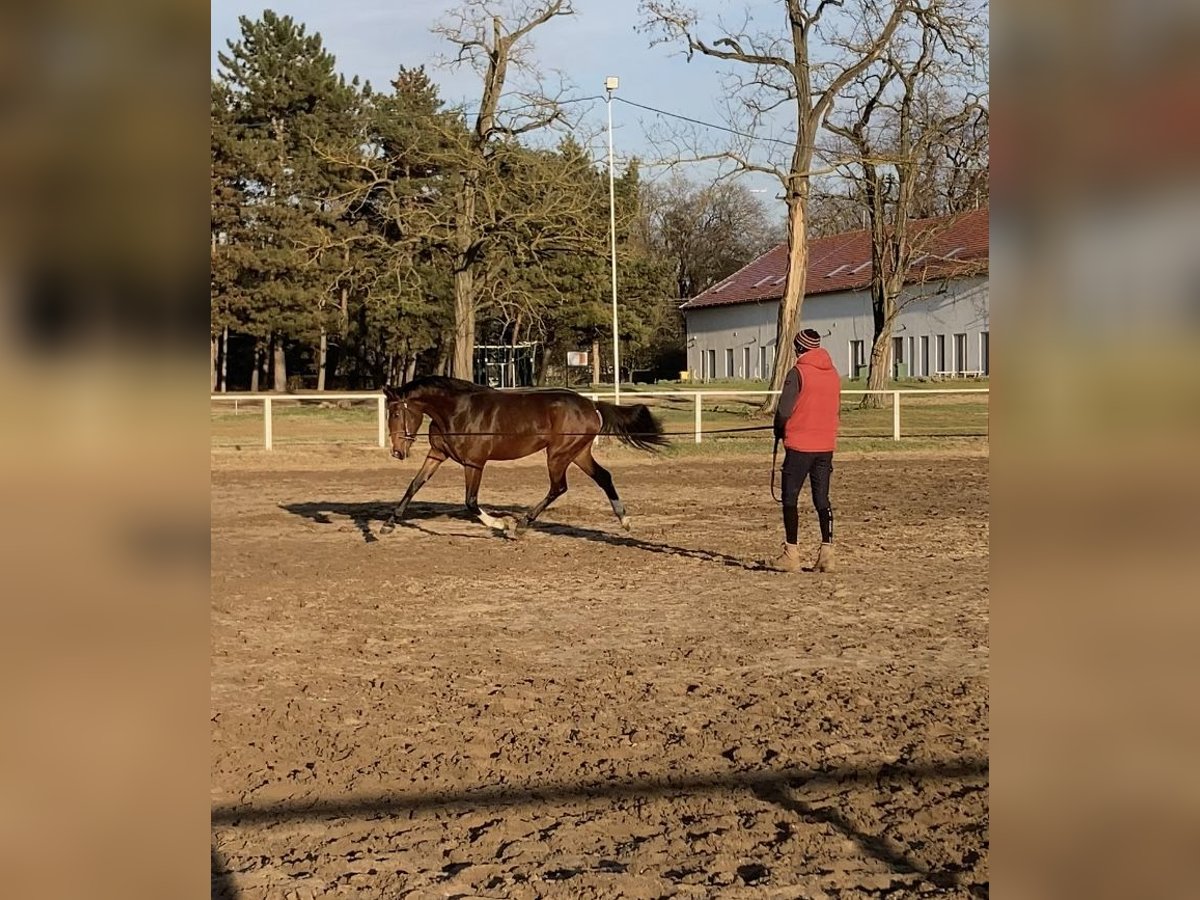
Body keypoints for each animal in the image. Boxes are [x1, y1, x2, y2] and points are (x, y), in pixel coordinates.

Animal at [379, 374, 672, 535]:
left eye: (395, 413)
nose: (397, 451)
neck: (458, 411)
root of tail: (591, 404)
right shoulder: (437, 454)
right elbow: (414, 485)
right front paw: (389, 524)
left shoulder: (474, 463)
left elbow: (471, 501)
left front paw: (501, 525)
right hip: (578, 453)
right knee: (603, 477)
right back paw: (625, 521)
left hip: (558, 454)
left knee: (559, 487)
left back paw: (522, 524)